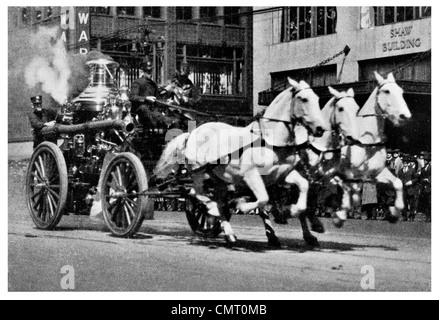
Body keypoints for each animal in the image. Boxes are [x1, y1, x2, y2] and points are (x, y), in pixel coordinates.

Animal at [155, 79, 326, 244]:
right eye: (303, 98)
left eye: (317, 99)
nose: (320, 129)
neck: (269, 141)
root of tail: (191, 133)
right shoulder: (251, 175)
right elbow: (263, 200)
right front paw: (242, 206)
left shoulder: (282, 175)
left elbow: (302, 188)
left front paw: (291, 212)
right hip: (199, 172)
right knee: (195, 193)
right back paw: (214, 210)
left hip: (218, 178)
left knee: (216, 199)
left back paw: (229, 232)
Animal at [344, 72, 412, 222]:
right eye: (386, 91)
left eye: (401, 91)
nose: (404, 116)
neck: (366, 142)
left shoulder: (375, 173)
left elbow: (398, 183)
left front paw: (395, 210)